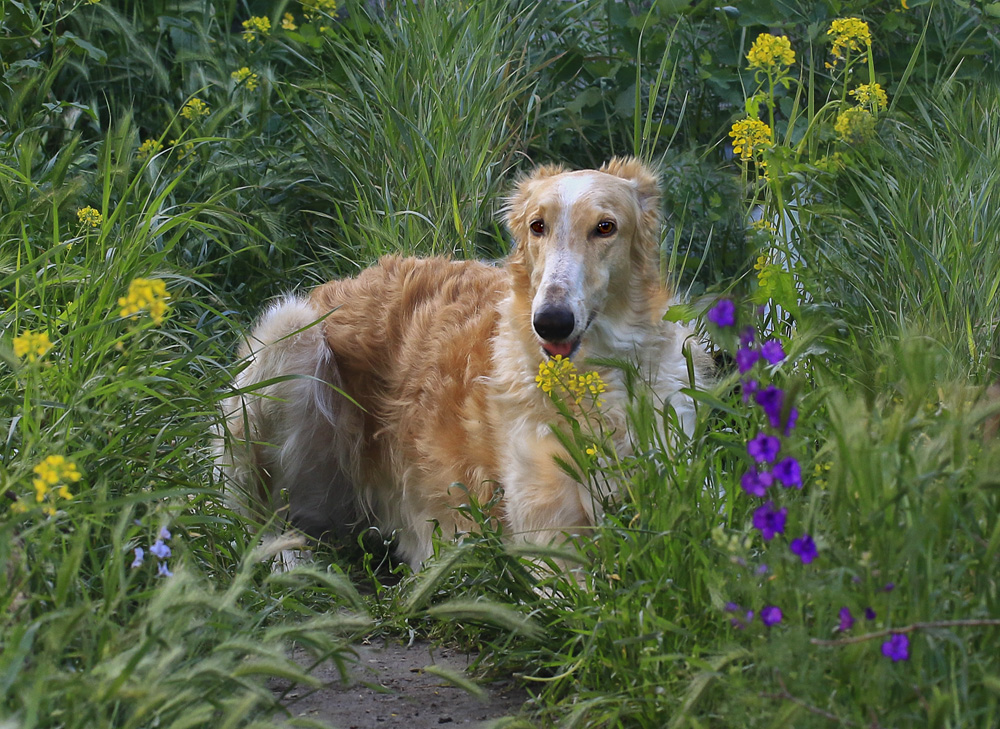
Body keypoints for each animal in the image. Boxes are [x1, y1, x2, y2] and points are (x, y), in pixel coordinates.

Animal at [218, 158, 708, 568]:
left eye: (605, 227)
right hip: (289, 335)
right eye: (538, 226)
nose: (550, 322)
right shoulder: (545, 541)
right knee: (255, 523)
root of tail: (345, 281)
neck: (594, 381)